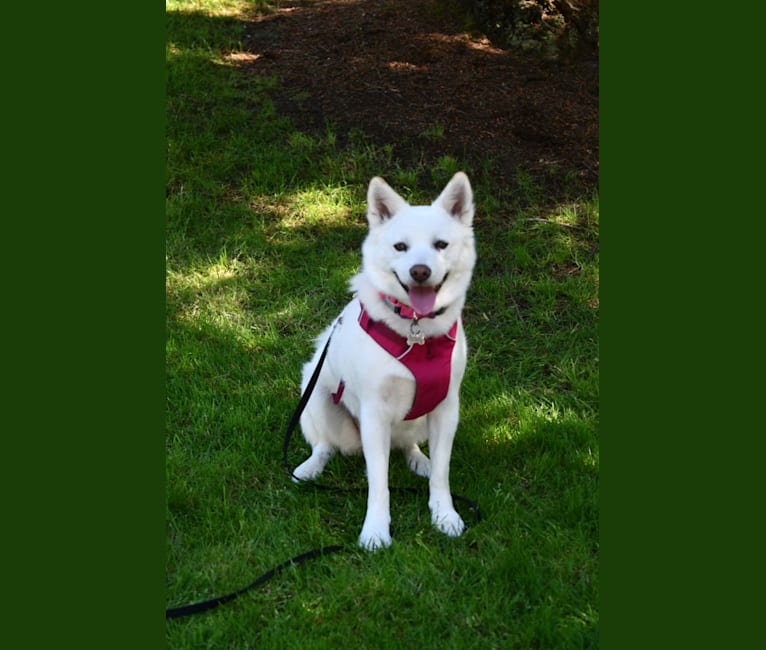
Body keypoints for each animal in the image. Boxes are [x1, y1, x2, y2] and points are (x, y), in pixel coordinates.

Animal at [292, 171, 476, 548]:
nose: (420, 272)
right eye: (400, 247)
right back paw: (310, 468)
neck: (417, 335)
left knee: (408, 445)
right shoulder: (374, 414)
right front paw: (375, 529)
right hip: (314, 396)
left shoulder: (446, 408)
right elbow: (379, 484)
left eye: (441, 245)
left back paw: (418, 460)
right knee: (324, 445)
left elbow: (442, 473)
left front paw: (444, 514)